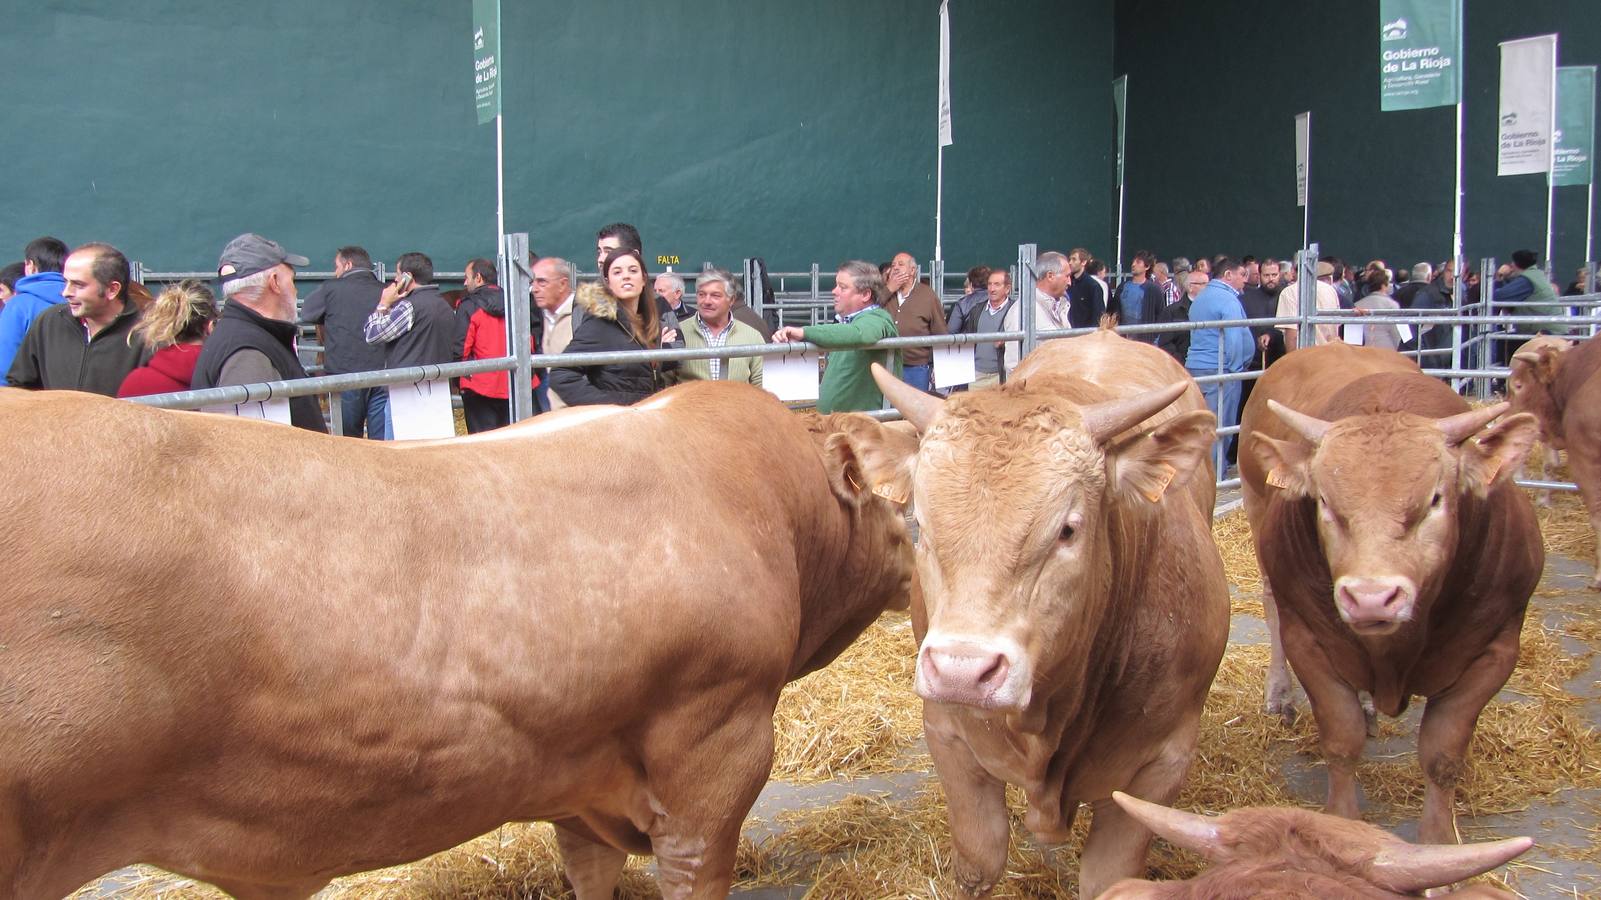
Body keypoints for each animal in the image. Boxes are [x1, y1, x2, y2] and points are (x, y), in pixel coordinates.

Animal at [851, 331, 1223, 896]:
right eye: (923, 526)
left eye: (1067, 529)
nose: (962, 672)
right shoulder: (947, 732)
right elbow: (980, 859)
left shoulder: (1162, 763)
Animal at [1235, 341, 1536, 839]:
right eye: (1324, 502)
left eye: (1435, 499)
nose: (1370, 598)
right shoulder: (1308, 641)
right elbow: (1341, 739)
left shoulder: (1495, 651)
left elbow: (1442, 756)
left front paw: (1439, 845)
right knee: (1272, 605)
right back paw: (1280, 693)